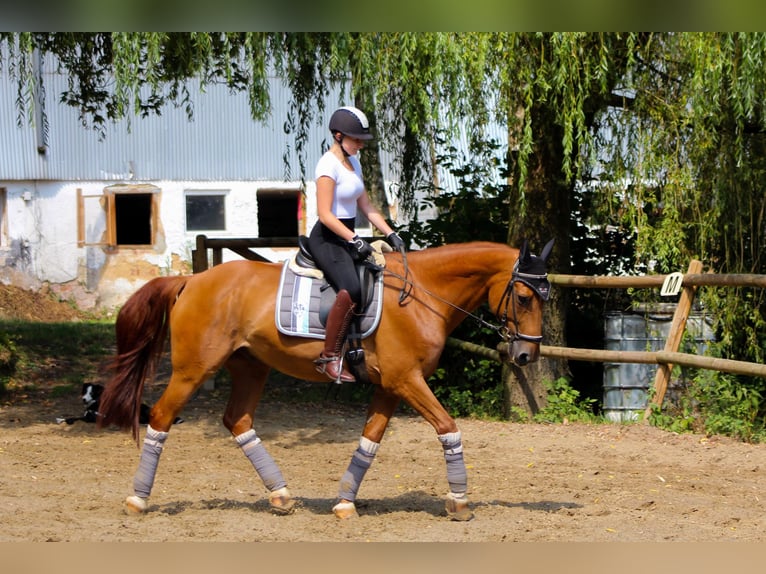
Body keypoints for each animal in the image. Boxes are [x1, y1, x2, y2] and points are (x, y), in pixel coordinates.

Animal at [97, 239, 554, 521]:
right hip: (194, 370)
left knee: (237, 421)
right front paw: (458, 501)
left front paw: (345, 503)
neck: (422, 294)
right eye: (523, 297)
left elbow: (370, 441)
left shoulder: (391, 386)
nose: (527, 355)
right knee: (161, 416)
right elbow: (448, 427)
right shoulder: (406, 381)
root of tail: (191, 280)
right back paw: (137, 499)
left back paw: (281, 495)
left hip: (251, 366)